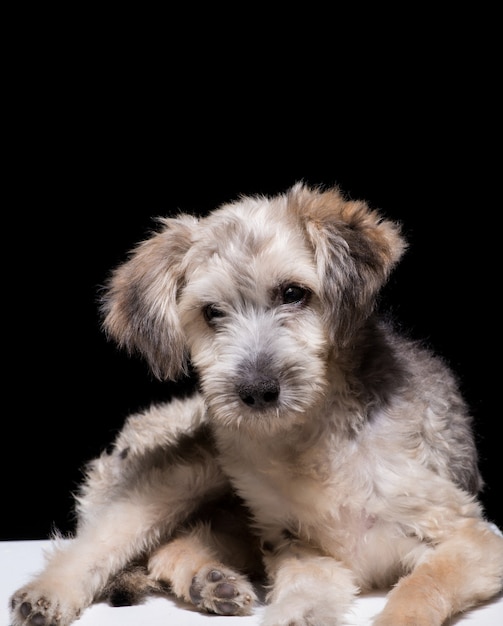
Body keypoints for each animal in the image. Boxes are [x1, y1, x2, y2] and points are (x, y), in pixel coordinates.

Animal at [10, 182, 503, 624]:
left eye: (293, 293)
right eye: (211, 312)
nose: (258, 391)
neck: (311, 439)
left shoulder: (472, 537)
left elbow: (423, 586)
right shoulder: (298, 549)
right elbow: (302, 600)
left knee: (173, 545)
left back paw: (209, 582)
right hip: (183, 472)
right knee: (105, 539)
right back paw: (49, 593)